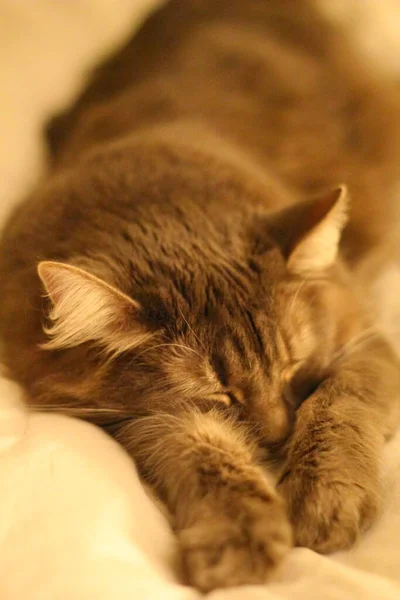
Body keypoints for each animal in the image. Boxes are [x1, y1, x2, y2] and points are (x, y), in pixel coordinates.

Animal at [0, 0, 400, 592]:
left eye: (292, 367)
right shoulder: (135, 417)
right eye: (220, 394)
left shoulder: (364, 339)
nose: (277, 438)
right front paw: (239, 535)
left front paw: (326, 497)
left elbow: (339, 407)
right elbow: (201, 448)